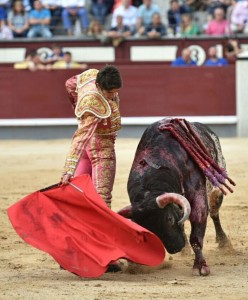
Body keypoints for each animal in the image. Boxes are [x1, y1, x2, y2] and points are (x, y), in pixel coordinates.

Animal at [118, 118, 234, 276]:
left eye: (169, 219)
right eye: (147, 228)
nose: (175, 248)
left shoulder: (197, 195)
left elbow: (196, 235)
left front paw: (200, 267)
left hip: (216, 189)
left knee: (215, 213)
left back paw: (224, 242)